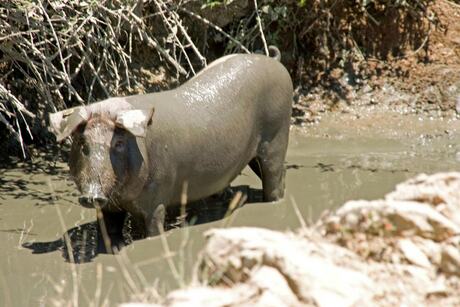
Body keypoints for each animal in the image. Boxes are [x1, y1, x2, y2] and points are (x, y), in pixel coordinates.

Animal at [50, 48, 292, 237]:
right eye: (82, 142)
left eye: (118, 143)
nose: (92, 195)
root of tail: (275, 61)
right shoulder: (110, 206)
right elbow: (109, 231)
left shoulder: (157, 198)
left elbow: (153, 230)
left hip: (277, 135)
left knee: (275, 179)